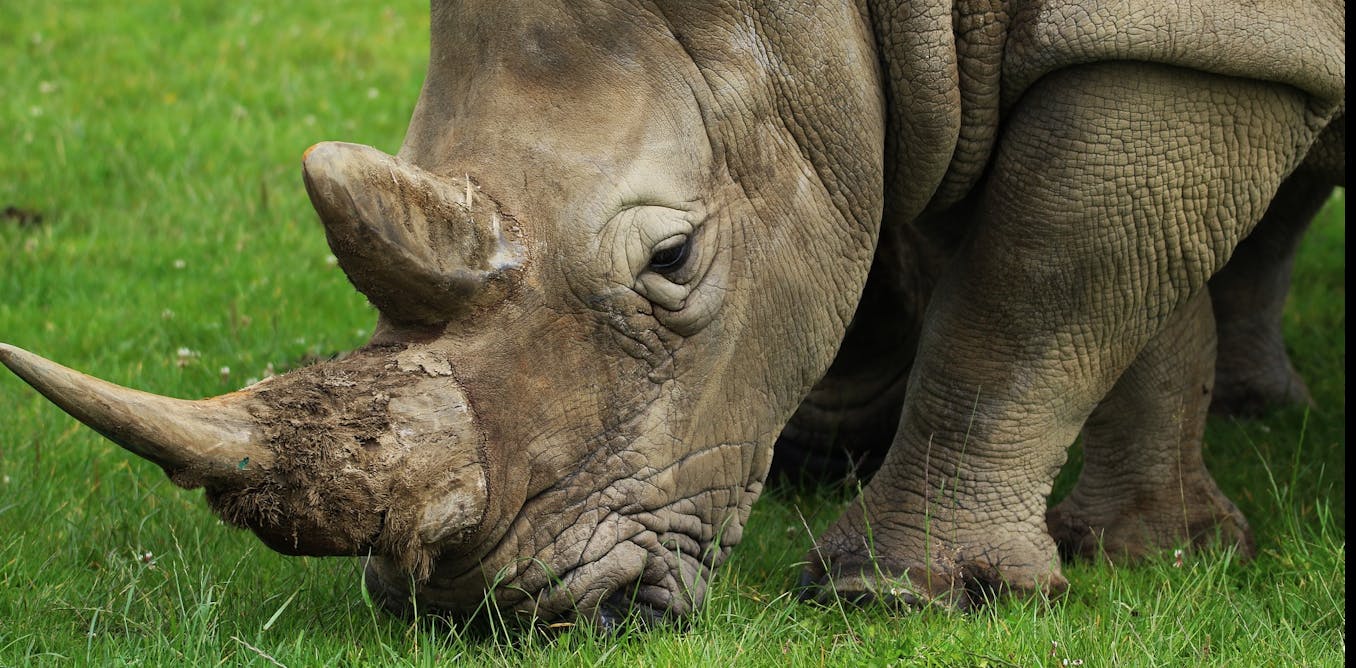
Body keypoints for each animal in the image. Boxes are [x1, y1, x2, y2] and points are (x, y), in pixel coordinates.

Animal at [1, 0, 1344, 624]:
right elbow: (1130, 279)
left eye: (677, 256)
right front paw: (1162, 553)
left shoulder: (1179, 37)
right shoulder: (1001, 59)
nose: (491, 614)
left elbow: (1038, 290)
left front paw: (903, 593)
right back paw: (1260, 411)